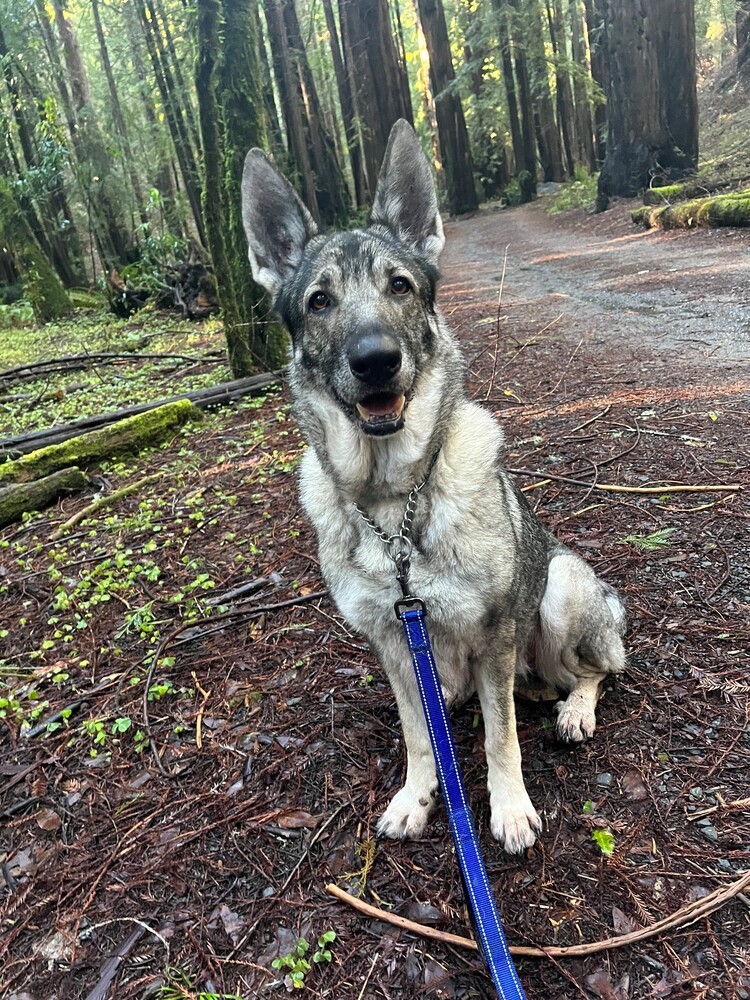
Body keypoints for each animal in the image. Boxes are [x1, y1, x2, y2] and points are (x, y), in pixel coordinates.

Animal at [242, 117, 628, 852]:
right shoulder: (394, 642)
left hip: (560, 592)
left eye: (399, 286)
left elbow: (502, 739)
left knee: (594, 671)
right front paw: (420, 794)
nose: (375, 360)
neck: (394, 503)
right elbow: (419, 734)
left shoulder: (497, 633)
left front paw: (509, 808)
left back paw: (573, 709)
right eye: (319, 302)